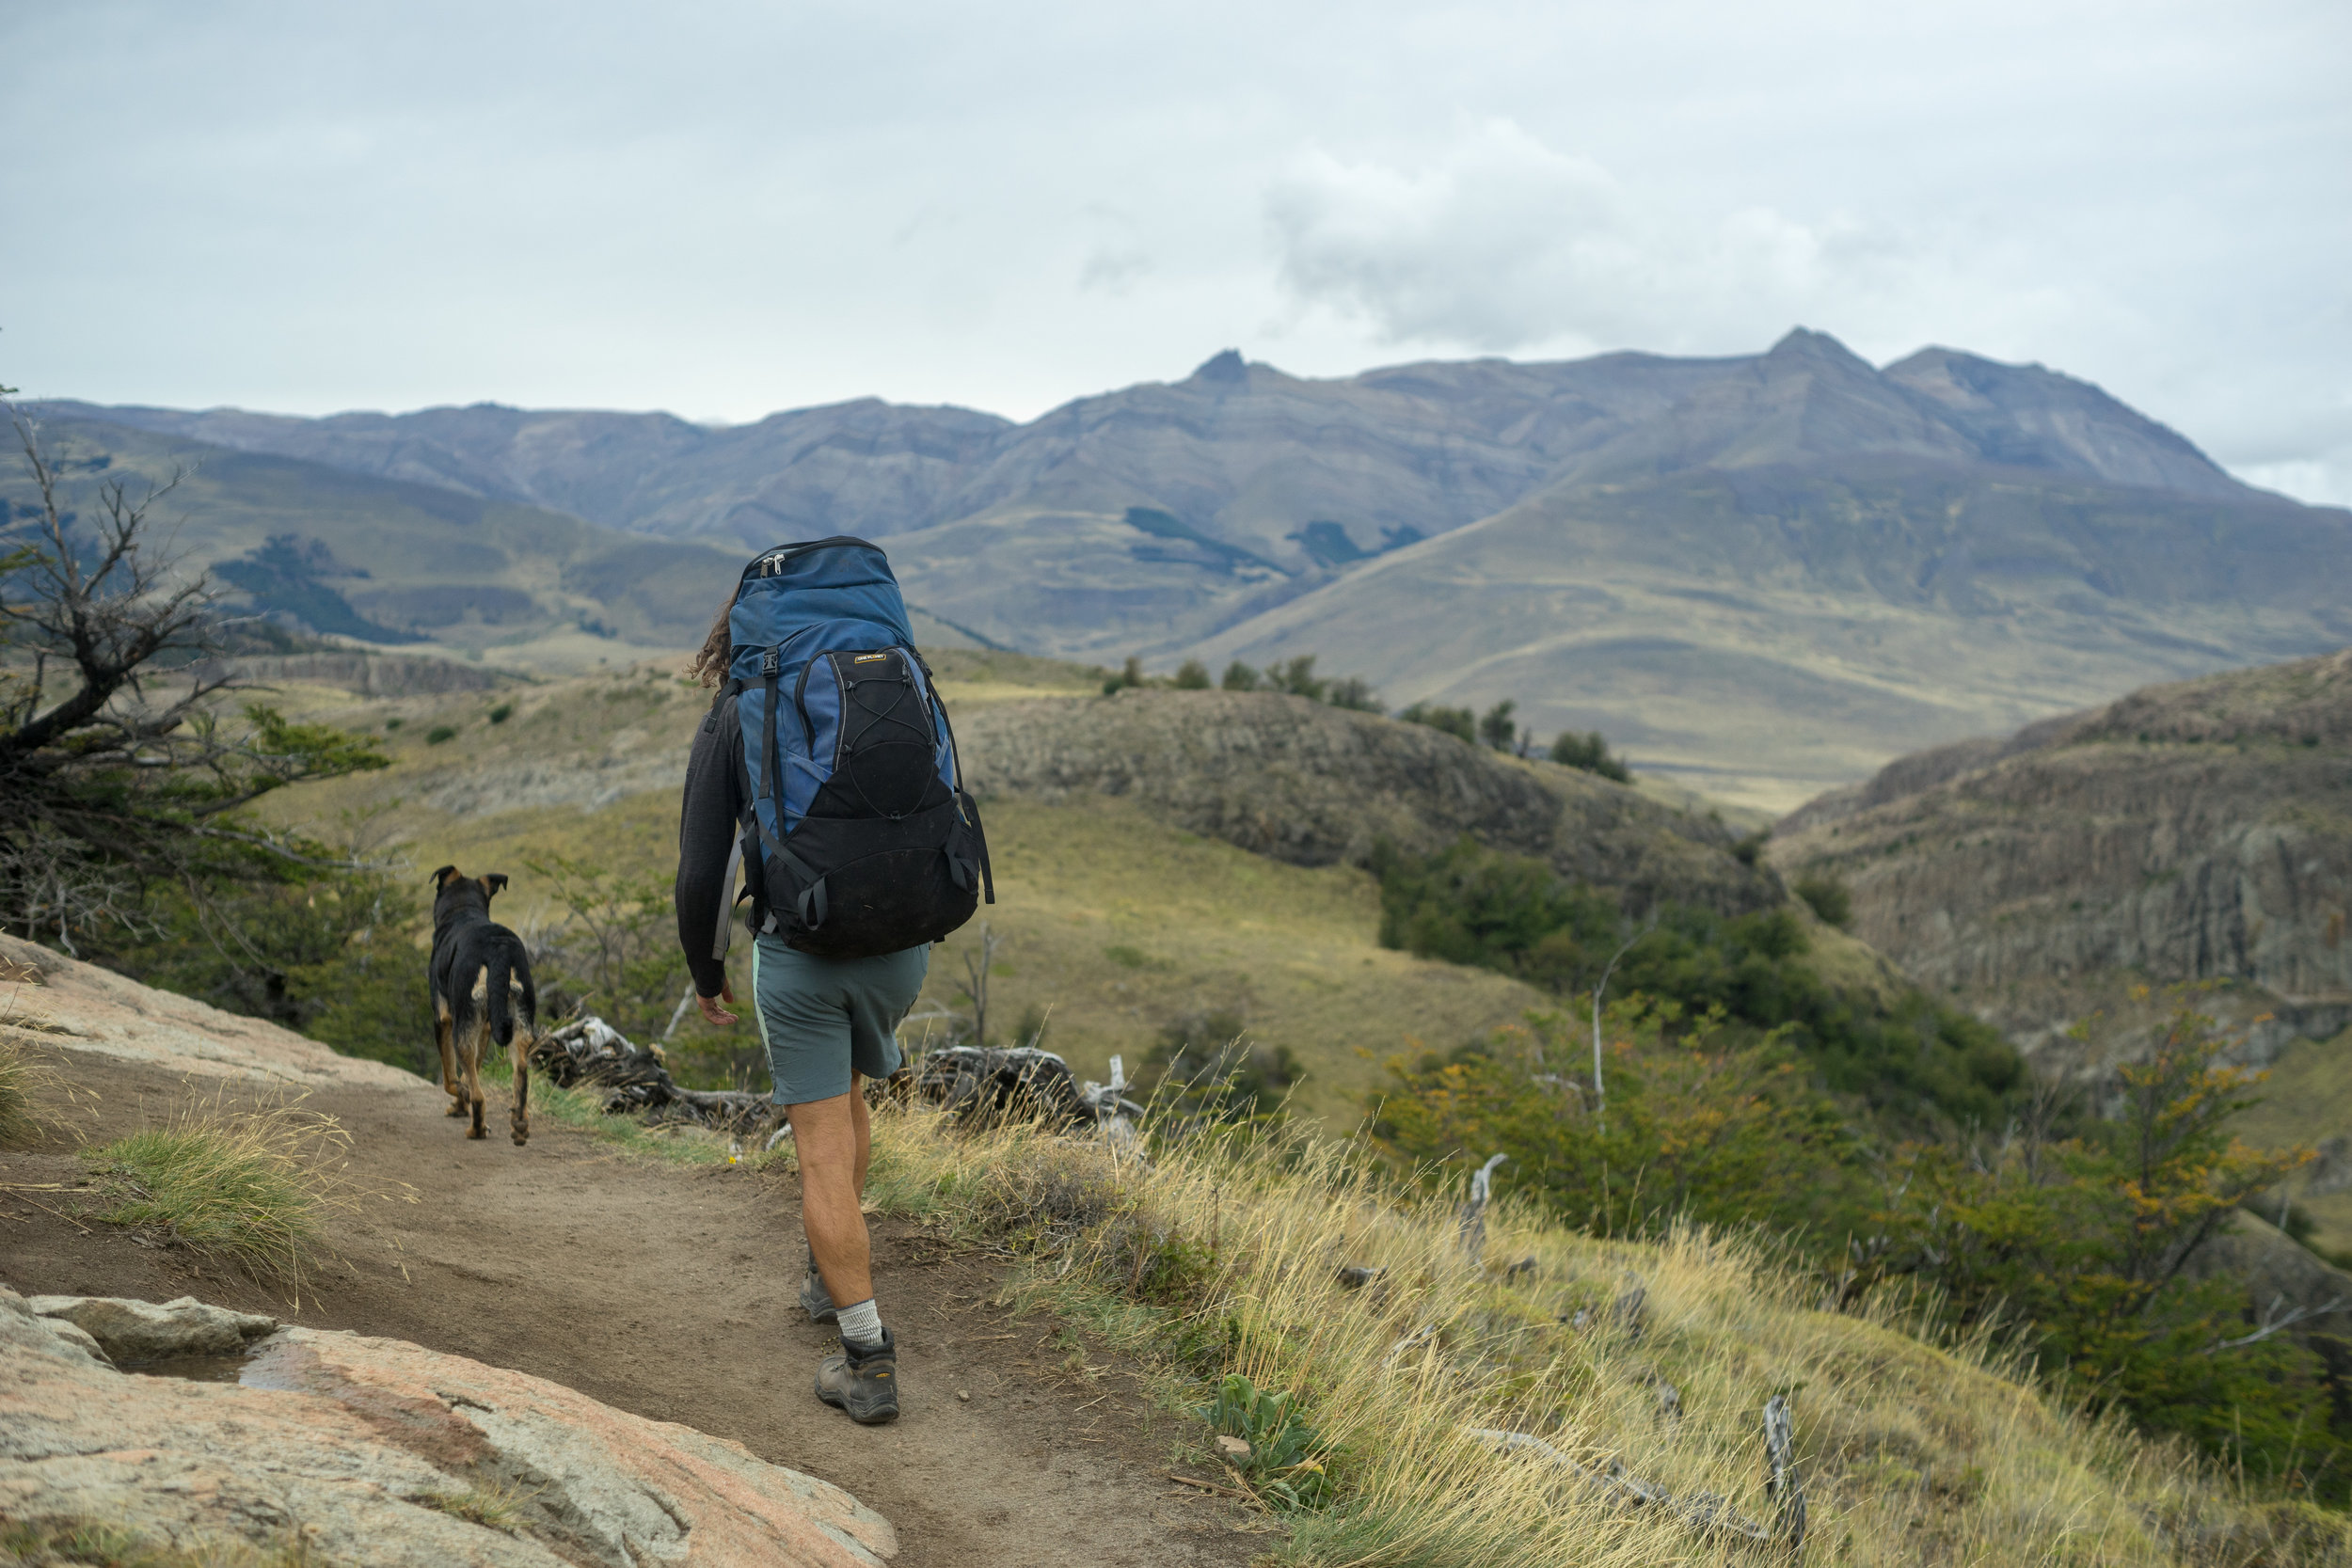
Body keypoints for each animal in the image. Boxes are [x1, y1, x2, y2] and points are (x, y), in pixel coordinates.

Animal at [430, 864, 538, 1147]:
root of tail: (499, 948)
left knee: (479, 1096)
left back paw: (476, 1129)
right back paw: (519, 1124)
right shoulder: (487, 1026)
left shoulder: (444, 1019)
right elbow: (473, 1071)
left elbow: (451, 1078)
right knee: (521, 1070)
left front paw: (461, 1097)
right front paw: (460, 1104)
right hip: (520, 1021)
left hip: (463, 1027)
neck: (463, 910)